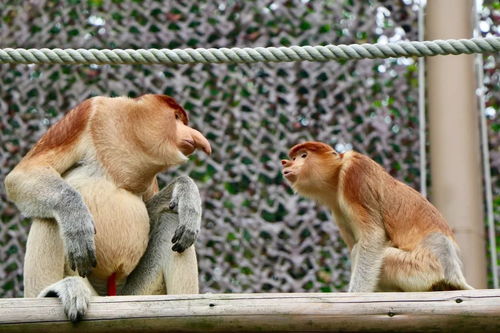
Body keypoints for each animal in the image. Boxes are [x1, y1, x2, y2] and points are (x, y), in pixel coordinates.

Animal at [4, 92, 211, 320]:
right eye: (176, 117)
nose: (194, 135)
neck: (130, 134)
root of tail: (109, 293)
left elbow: (150, 210)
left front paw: (187, 193)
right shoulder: (87, 113)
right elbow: (21, 175)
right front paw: (76, 220)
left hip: (136, 294)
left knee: (173, 218)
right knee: (50, 218)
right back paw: (51, 290)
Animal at [282, 141, 472, 292]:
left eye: (303, 155)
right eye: (294, 157)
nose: (285, 162)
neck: (337, 174)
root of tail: (454, 274)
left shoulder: (355, 174)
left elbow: (373, 237)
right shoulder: (336, 206)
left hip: (423, 269)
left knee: (382, 256)